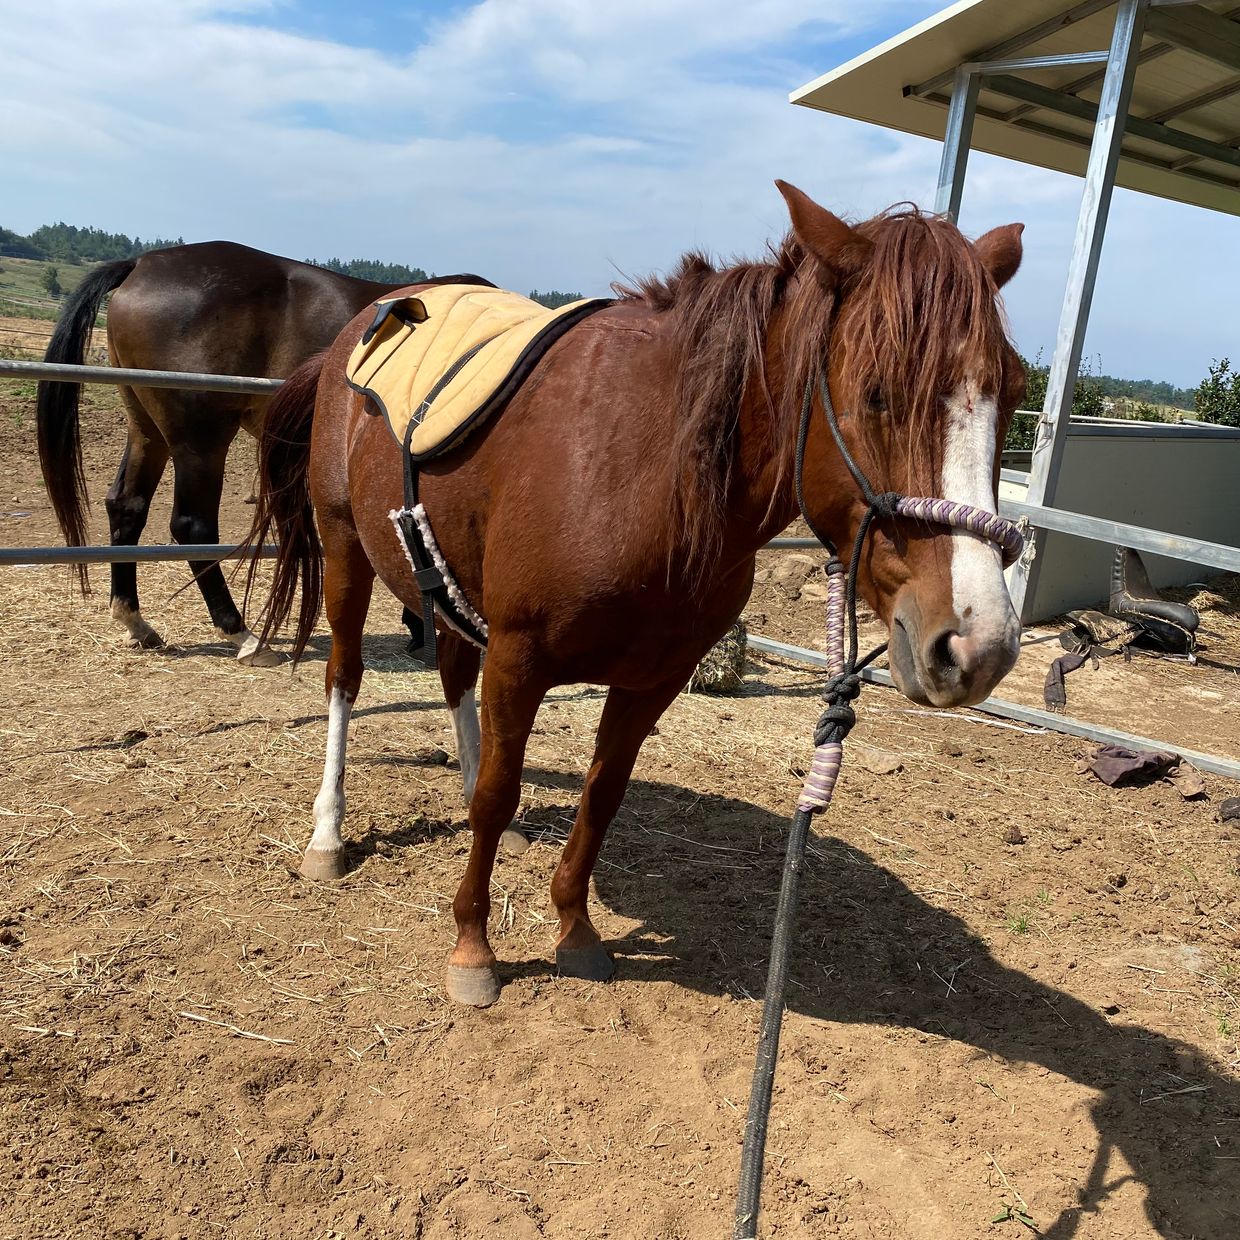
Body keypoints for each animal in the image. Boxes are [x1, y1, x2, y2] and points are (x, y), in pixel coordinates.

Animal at [35, 245, 488, 664]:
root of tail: (142, 264)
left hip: (147, 431)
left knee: (127, 506)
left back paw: (136, 622)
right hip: (201, 441)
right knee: (192, 525)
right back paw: (244, 635)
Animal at [244, 188, 1026, 1011]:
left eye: (1011, 392)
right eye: (877, 392)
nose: (977, 646)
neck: (646, 472)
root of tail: (359, 324)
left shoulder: (653, 680)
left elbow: (601, 796)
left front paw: (574, 930)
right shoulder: (519, 659)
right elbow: (498, 791)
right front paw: (474, 948)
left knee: (454, 679)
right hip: (344, 549)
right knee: (345, 679)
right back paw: (328, 835)